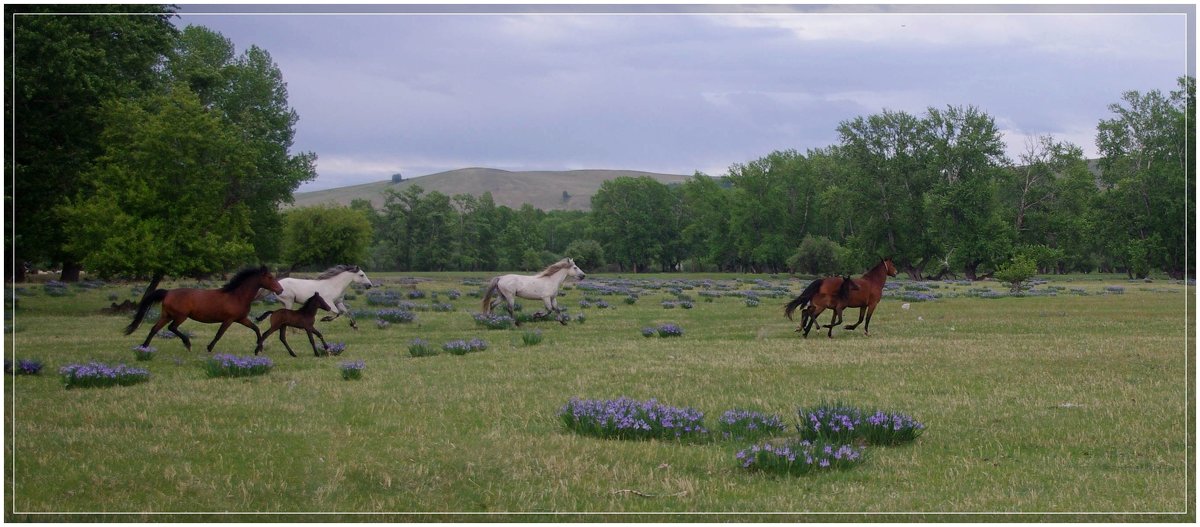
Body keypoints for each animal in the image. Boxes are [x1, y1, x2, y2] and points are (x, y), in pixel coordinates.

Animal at [125, 267, 284, 355]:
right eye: (270, 277)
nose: (280, 290)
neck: (237, 295)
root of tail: (168, 292)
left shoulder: (241, 319)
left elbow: (256, 328)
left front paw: (260, 347)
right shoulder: (229, 320)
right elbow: (219, 334)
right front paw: (209, 348)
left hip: (166, 315)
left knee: (154, 329)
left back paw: (144, 347)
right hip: (180, 316)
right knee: (172, 328)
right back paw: (187, 343)